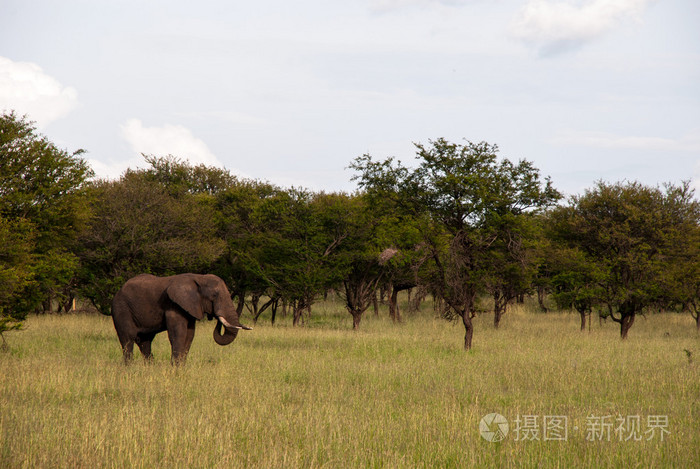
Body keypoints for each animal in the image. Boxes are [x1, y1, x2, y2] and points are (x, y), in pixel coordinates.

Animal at [109, 272, 252, 364]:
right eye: (214, 295)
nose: (215, 316)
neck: (199, 278)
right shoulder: (173, 305)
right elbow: (178, 333)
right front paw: (175, 367)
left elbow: (190, 334)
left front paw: (182, 366)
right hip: (121, 309)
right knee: (128, 339)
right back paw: (129, 367)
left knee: (145, 341)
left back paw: (150, 367)